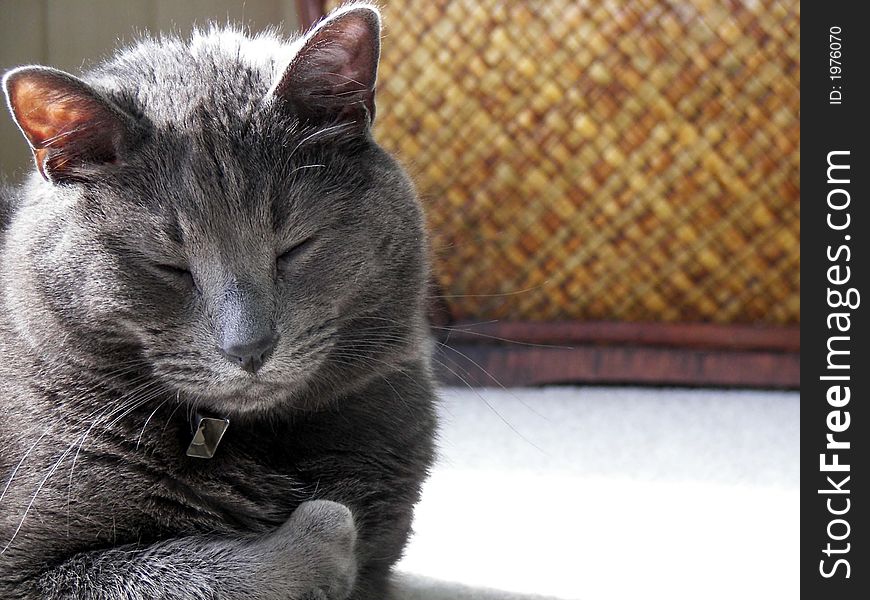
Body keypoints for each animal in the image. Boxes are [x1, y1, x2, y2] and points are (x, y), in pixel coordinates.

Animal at [0, 3, 436, 596]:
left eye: (294, 246)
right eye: (170, 265)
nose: (249, 347)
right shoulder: (22, 567)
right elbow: (207, 569)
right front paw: (323, 539)